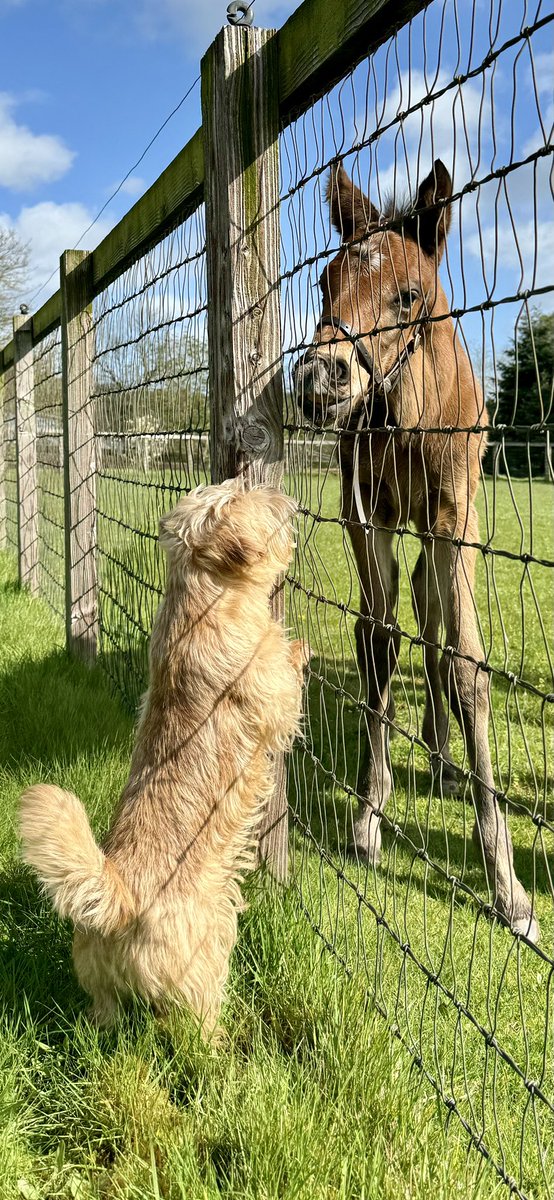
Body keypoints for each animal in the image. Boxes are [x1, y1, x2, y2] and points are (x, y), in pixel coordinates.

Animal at [19, 477, 304, 1032]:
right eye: (246, 493)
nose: (280, 492)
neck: (202, 598)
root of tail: (121, 903)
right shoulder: (272, 695)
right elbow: (286, 674)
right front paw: (298, 647)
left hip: (97, 985)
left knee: (103, 1013)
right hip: (205, 956)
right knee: (193, 1022)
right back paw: (218, 1040)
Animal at [293, 162, 537, 945]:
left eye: (408, 294)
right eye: (325, 283)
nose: (323, 379)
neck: (407, 412)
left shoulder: (454, 516)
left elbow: (466, 665)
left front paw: (509, 887)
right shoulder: (362, 511)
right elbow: (378, 638)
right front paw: (368, 817)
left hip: (447, 534)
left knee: (437, 628)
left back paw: (443, 757)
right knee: (418, 626)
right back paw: (434, 753)